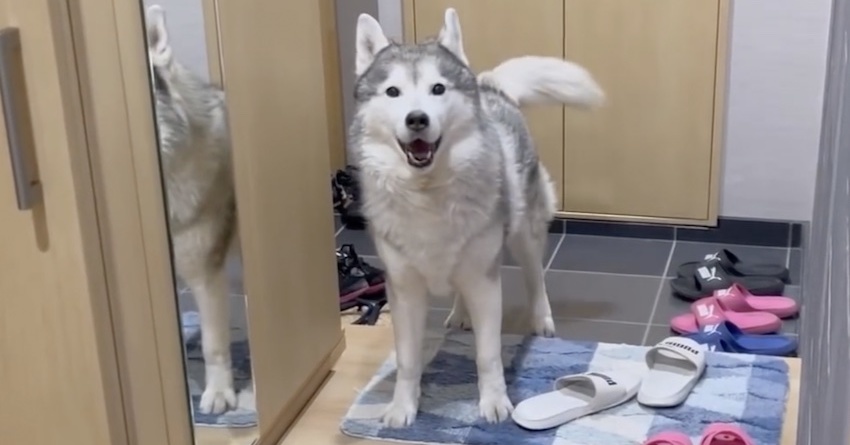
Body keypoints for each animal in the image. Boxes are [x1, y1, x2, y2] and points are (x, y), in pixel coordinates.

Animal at [350, 8, 604, 426]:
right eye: (393, 92)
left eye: (438, 89)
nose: (417, 119)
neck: (428, 194)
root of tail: (490, 87)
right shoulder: (404, 290)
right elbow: (407, 361)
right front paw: (403, 407)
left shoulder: (486, 284)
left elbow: (488, 355)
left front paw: (494, 402)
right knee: (458, 288)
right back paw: (458, 314)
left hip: (523, 233)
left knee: (535, 276)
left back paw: (540, 319)